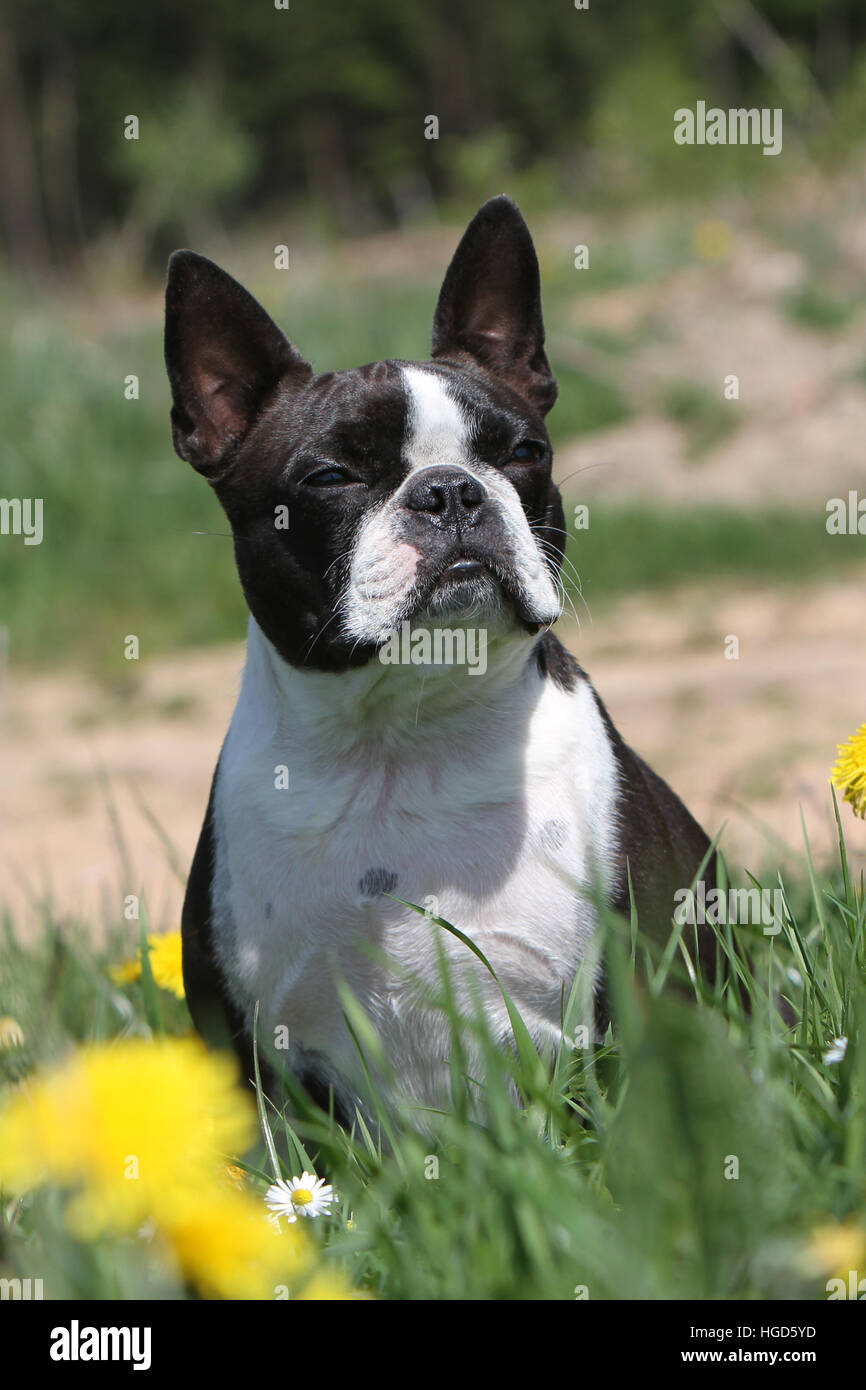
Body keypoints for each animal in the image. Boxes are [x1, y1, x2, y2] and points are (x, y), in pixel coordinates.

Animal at [166, 195, 717, 1112]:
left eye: (524, 453)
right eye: (329, 478)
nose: (452, 490)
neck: (399, 740)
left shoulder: (615, 1006)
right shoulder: (257, 1059)